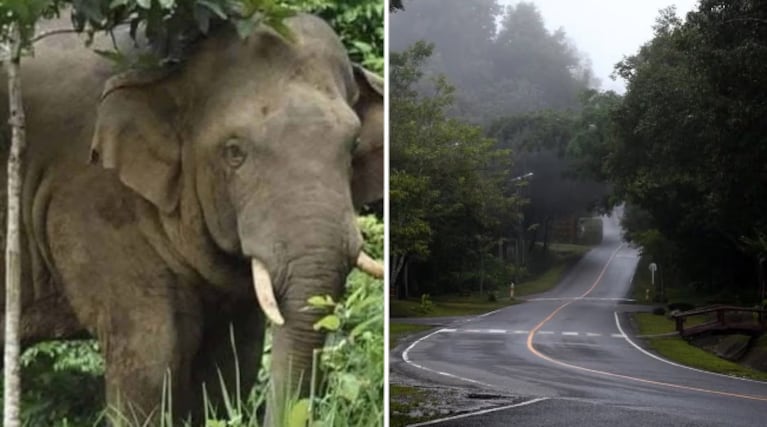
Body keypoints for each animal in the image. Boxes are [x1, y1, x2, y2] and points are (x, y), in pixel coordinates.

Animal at [0, 11, 383, 425]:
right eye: (234, 153)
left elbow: (233, 357)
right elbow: (151, 352)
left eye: (353, 147)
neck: (173, 65)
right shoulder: (88, 200)